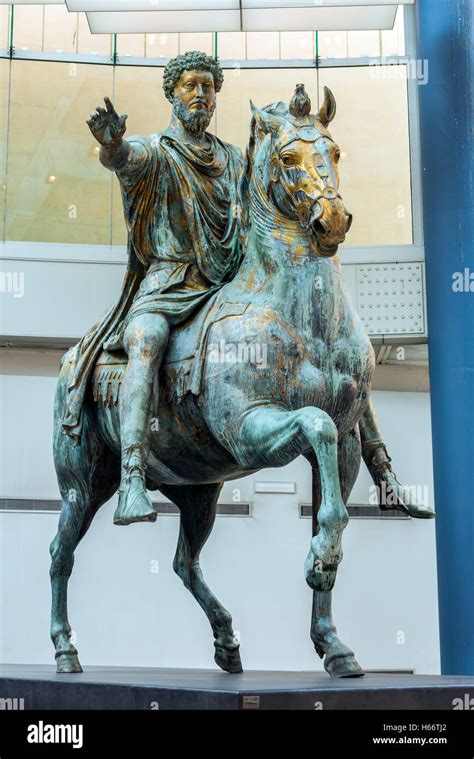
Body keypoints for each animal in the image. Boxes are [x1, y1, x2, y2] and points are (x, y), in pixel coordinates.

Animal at [50, 86, 378, 680]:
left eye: (335, 151)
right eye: (289, 157)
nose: (334, 221)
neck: (300, 318)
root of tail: (71, 359)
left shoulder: (344, 445)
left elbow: (332, 507)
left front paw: (333, 641)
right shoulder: (251, 429)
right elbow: (315, 425)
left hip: (200, 490)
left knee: (185, 562)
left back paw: (228, 643)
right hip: (81, 486)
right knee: (60, 556)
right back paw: (66, 650)